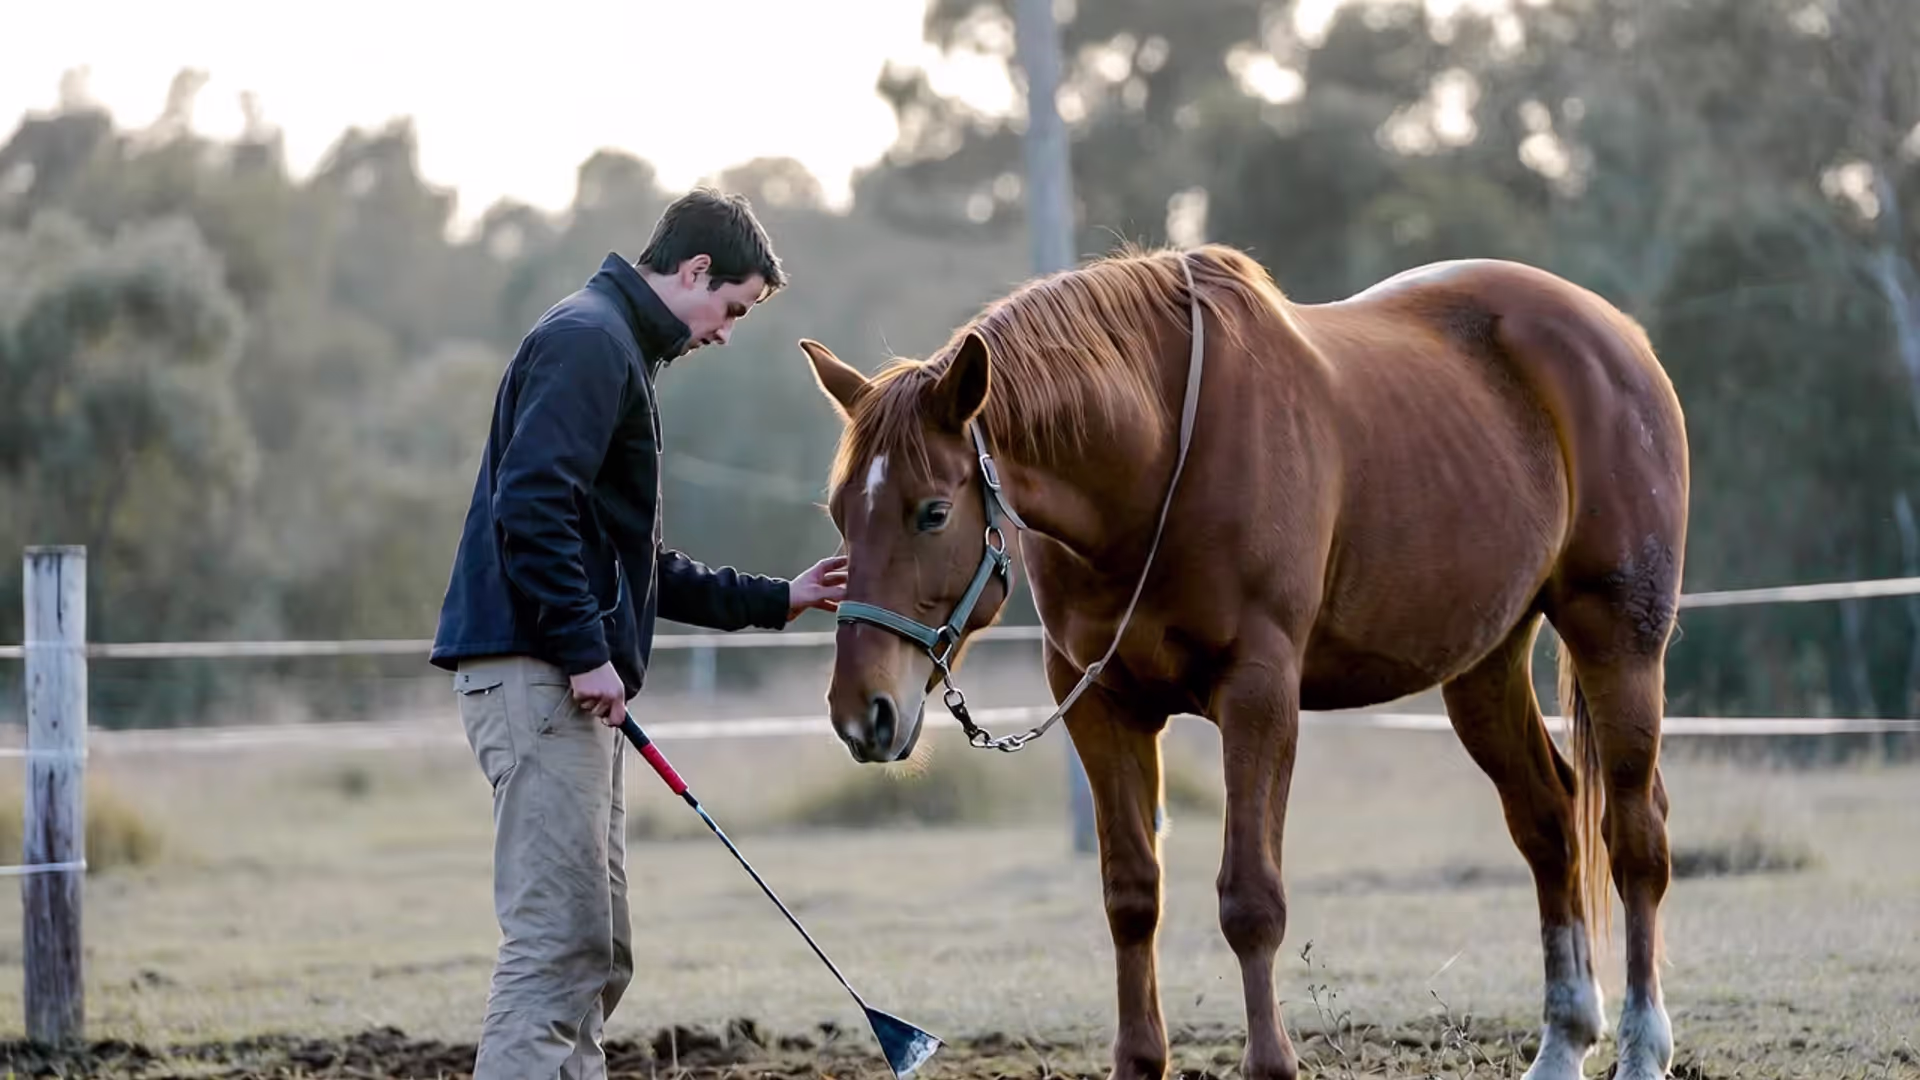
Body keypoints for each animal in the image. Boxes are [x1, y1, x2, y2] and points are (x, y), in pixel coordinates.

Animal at [797, 241, 1687, 1080]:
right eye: (839, 511)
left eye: (932, 512)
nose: (862, 711)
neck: (1156, 461)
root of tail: (1618, 337)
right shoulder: (1099, 702)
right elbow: (1131, 894)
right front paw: (1138, 1062)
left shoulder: (1258, 694)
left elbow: (1251, 900)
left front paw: (1270, 1062)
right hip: (1483, 665)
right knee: (1549, 823)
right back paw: (1562, 1043)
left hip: (1618, 638)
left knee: (1633, 836)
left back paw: (1643, 1048)